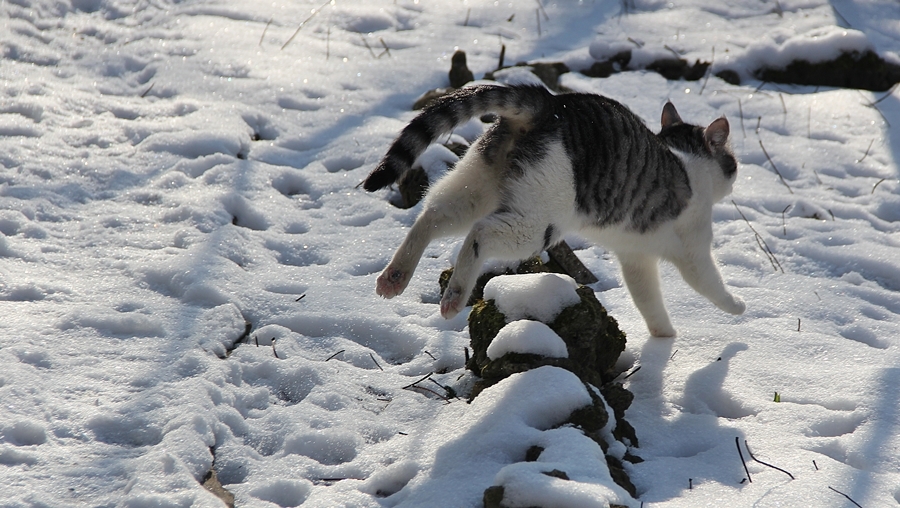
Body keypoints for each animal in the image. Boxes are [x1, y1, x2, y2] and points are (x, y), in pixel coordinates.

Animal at [362, 83, 740, 338]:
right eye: (733, 163)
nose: (735, 176)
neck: (686, 158)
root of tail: (550, 102)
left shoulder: (636, 258)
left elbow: (648, 299)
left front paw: (664, 337)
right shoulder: (693, 247)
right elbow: (708, 283)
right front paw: (737, 306)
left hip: (476, 183)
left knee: (432, 215)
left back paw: (394, 277)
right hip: (539, 221)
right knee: (479, 234)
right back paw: (454, 297)